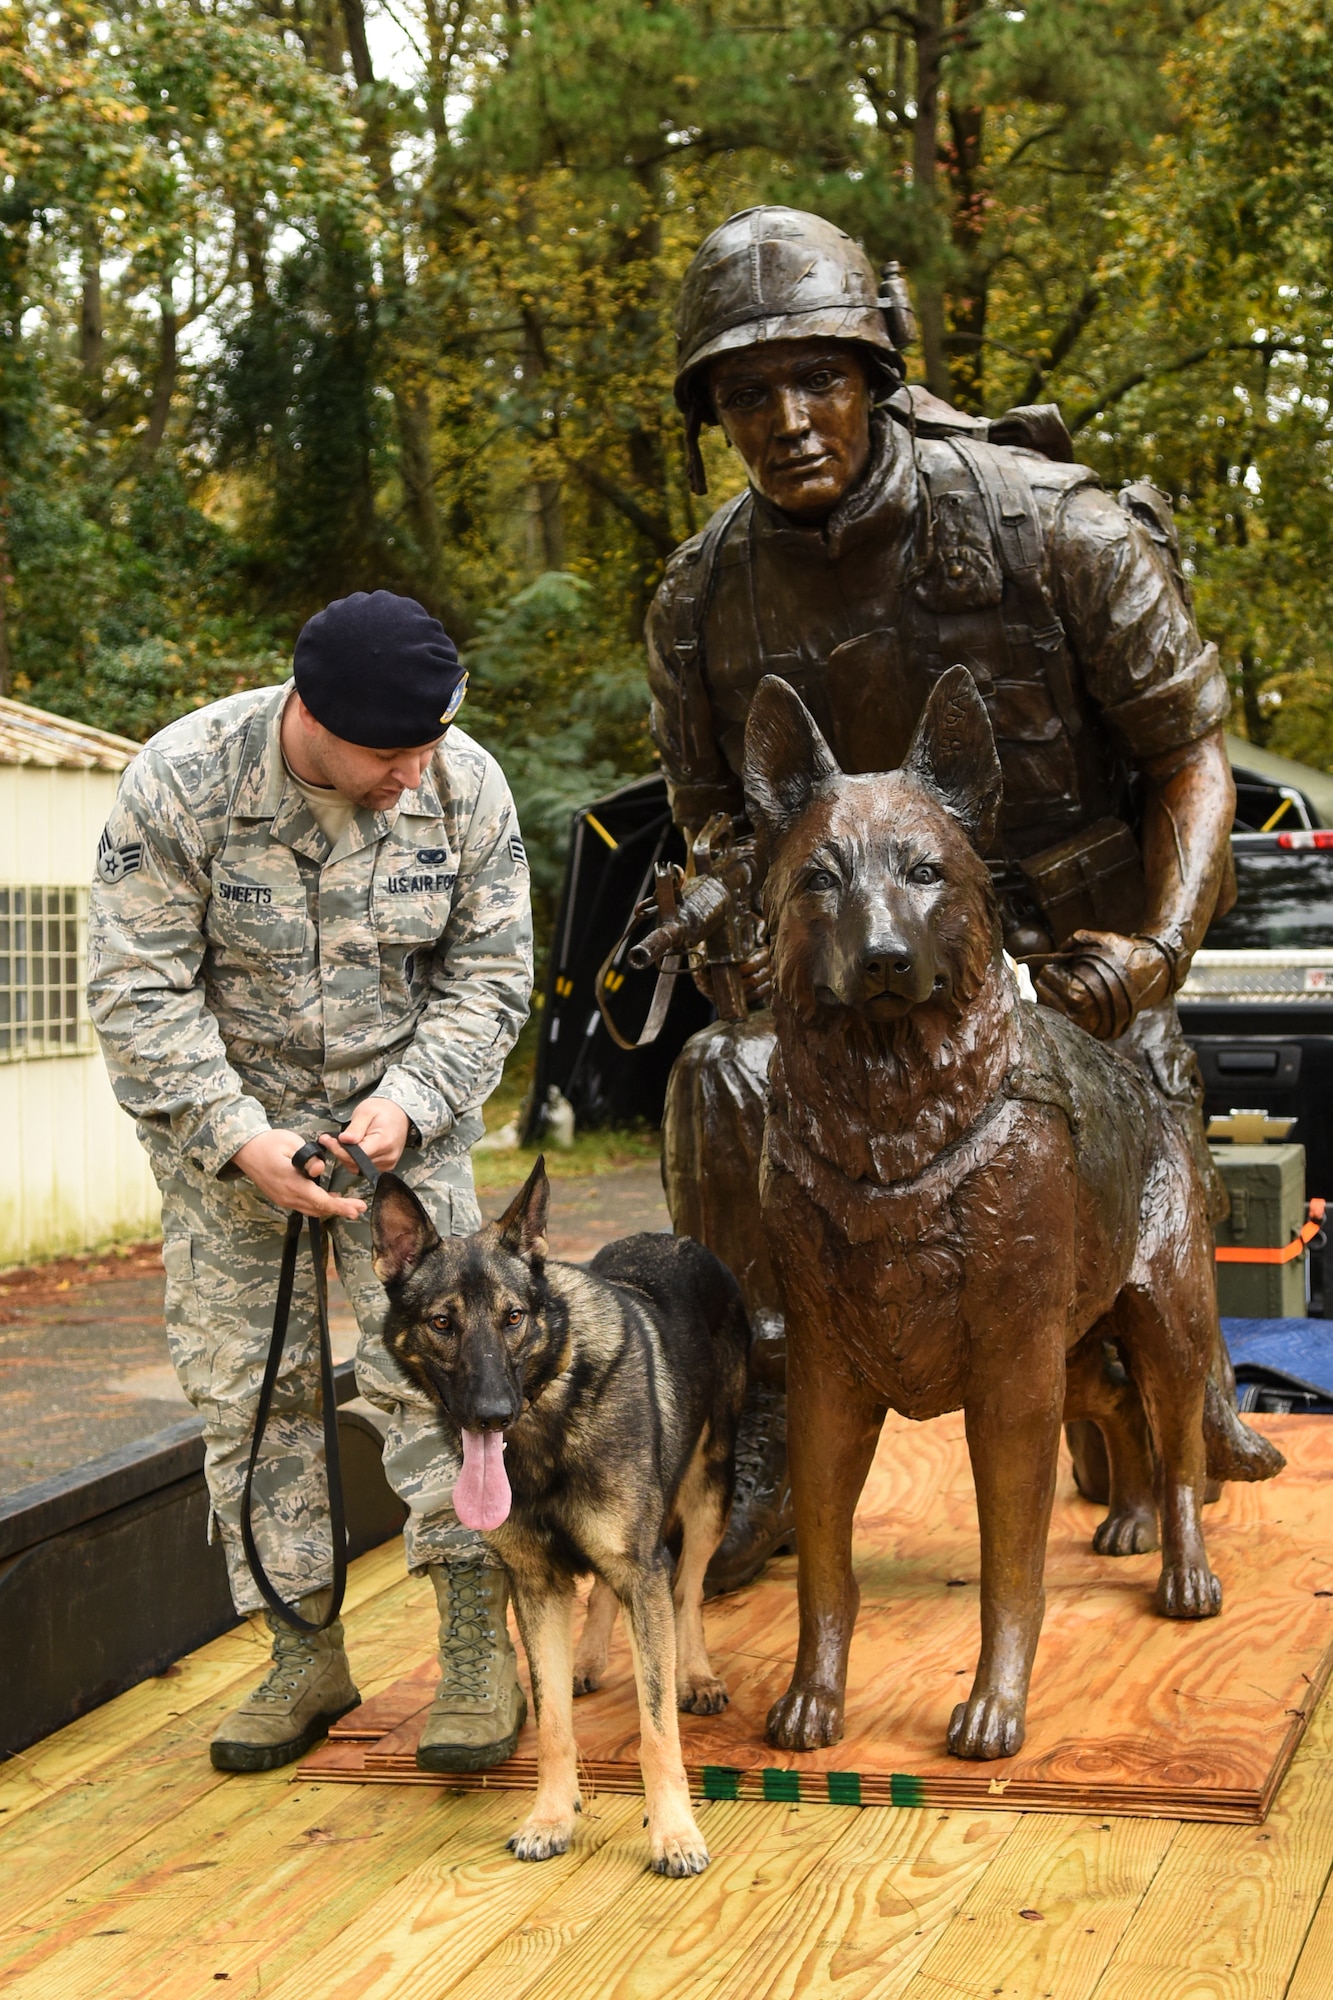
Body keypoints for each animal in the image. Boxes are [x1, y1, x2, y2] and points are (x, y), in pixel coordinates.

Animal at [368, 1160, 748, 1872]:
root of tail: (678, 1238)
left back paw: (695, 1672)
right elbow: (551, 1727)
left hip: (709, 1491)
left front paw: (674, 1832)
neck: (549, 1412)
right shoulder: (538, 1588)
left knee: (686, 1590)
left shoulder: (643, 1567)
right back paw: (588, 1659)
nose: (491, 1414)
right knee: (604, 1592)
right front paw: (551, 1816)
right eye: (442, 1322)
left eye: (514, 1317)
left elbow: (658, 1728)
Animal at [740, 676, 1272, 1768]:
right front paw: (814, 1695)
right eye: (819, 878)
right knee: (1116, 1408)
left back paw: (1181, 1568)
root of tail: (1147, 1089)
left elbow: (1010, 1564)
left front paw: (996, 1705)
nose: (885, 959)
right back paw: (1128, 1518)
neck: (892, 1124)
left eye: (924, 871)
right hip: (1071, 1344)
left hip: (1160, 1321)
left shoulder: (1008, 1384)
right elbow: (823, 1565)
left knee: (1180, 1444)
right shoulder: (828, 1384)